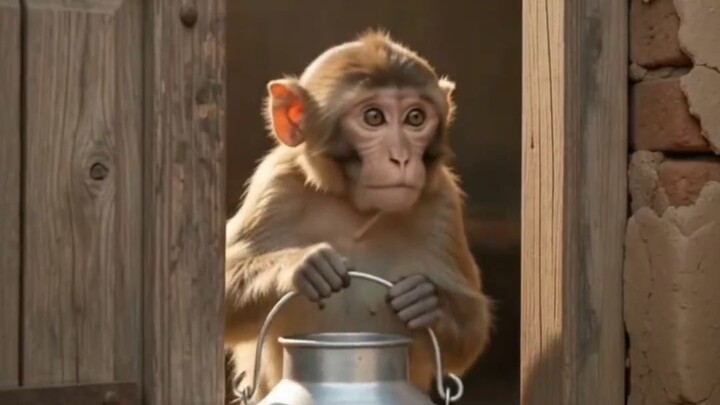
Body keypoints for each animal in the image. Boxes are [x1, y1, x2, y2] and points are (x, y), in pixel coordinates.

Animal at [224, 29, 493, 402]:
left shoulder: (442, 203)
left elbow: (472, 327)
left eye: (415, 118)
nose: (401, 157)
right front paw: (302, 266)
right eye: (373, 117)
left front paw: (426, 301)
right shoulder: (275, 187)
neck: (354, 209)